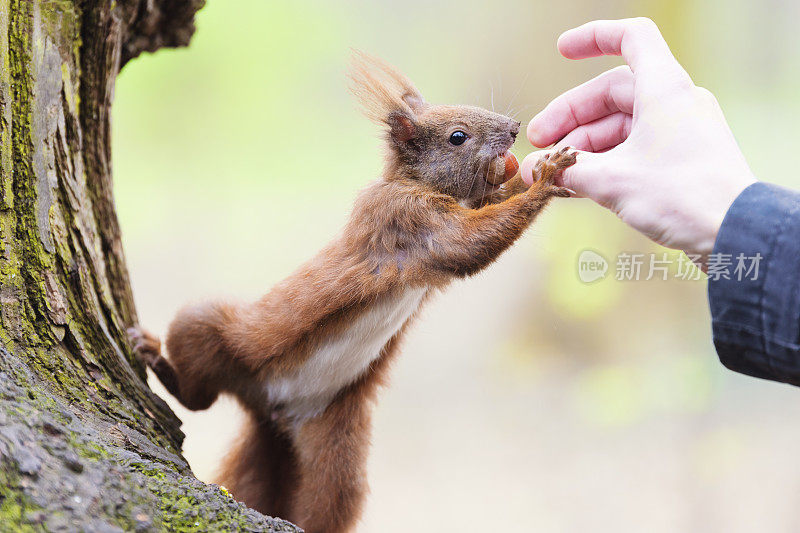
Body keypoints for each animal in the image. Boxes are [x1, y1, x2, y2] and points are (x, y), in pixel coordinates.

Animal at [130, 53, 576, 532]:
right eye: (457, 137)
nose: (514, 128)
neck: (418, 183)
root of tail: (268, 409)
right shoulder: (404, 220)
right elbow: (466, 244)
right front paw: (546, 177)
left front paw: (537, 169)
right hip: (210, 331)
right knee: (196, 397)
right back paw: (157, 358)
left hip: (335, 445)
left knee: (330, 500)